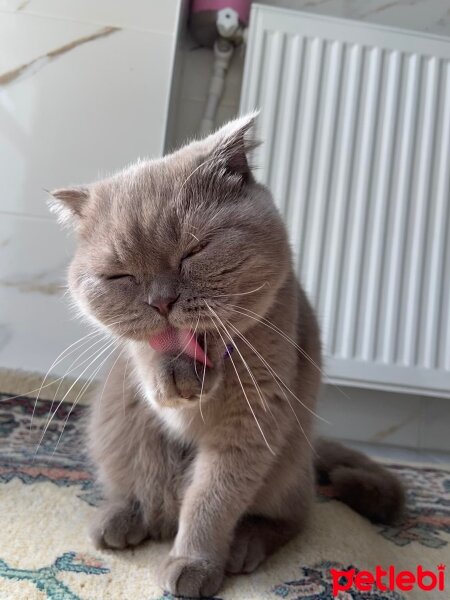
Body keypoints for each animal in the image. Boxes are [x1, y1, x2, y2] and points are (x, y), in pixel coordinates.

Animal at [50, 115, 404, 596]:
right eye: (120, 276)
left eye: (194, 251)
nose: (161, 301)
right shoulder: (149, 372)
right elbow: (148, 358)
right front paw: (173, 376)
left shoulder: (250, 422)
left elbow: (211, 499)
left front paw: (192, 565)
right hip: (119, 433)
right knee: (150, 497)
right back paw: (119, 519)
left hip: (286, 467)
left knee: (291, 517)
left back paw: (244, 547)